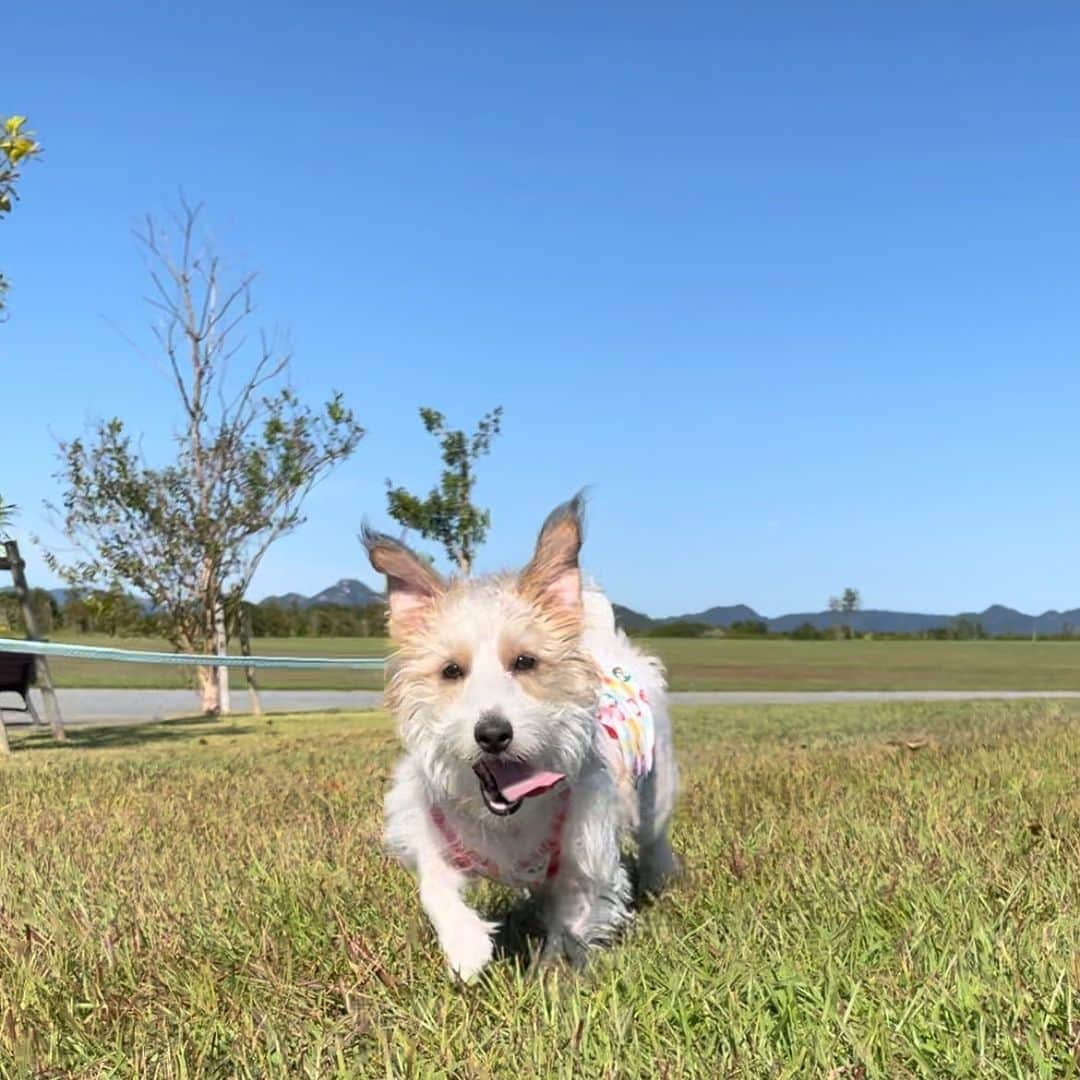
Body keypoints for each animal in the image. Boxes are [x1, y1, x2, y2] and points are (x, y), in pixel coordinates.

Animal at [367, 494, 678, 984]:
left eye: (525, 662)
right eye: (451, 671)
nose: (493, 733)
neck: (510, 817)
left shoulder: (586, 856)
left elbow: (571, 923)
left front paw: (550, 976)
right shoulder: (426, 822)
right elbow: (434, 887)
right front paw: (466, 948)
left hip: (655, 790)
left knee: (654, 838)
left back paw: (661, 876)